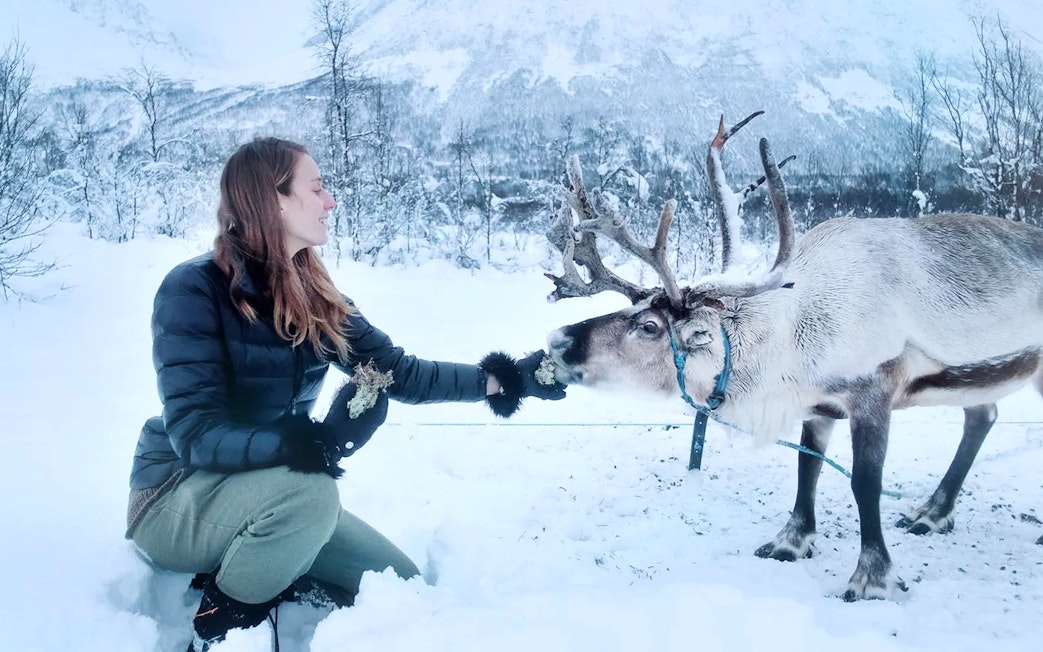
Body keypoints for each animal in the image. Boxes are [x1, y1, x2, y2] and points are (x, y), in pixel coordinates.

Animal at [542, 111, 1043, 601]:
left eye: (649, 327)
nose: (558, 339)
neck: (793, 342)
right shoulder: (818, 403)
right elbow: (808, 468)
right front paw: (791, 541)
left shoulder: (874, 392)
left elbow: (865, 483)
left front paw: (872, 577)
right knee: (983, 416)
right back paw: (932, 512)